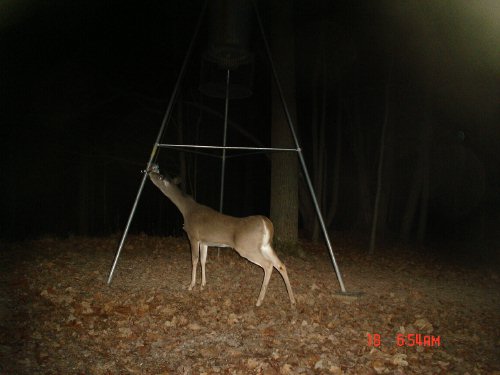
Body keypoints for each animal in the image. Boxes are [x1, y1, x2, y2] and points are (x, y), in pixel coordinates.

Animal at [146, 165, 292, 308]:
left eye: (159, 176)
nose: (149, 173)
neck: (187, 210)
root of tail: (266, 223)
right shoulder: (204, 241)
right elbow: (203, 260)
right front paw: (203, 285)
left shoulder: (193, 236)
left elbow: (194, 260)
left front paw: (191, 285)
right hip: (266, 245)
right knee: (281, 265)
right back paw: (292, 300)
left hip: (246, 247)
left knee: (268, 265)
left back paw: (259, 301)